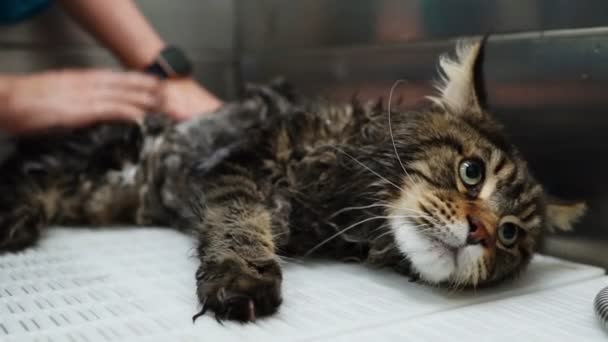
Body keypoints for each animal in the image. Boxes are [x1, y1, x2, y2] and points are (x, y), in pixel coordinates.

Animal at [0, 38, 584, 322]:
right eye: (471, 172)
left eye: (510, 234)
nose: (480, 232)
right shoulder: (236, 164)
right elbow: (238, 220)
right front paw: (241, 278)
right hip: (97, 148)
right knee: (27, 172)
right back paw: (13, 220)